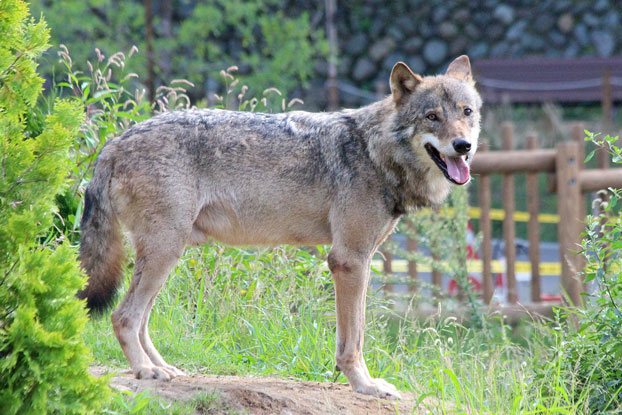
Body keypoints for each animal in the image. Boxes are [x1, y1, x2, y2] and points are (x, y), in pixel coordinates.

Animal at [79, 55, 482, 400]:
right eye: (432, 116)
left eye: (467, 112)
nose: (463, 145)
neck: (373, 150)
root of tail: (113, 144)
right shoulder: (349, 260)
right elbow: (352, 340)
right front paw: (365, 385)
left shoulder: (362, 259)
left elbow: (355, 334)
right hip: (164, 251)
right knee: (123, 316)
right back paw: (145, 371)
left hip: (167, 254)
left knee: (142, 321)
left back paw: (163, 368)